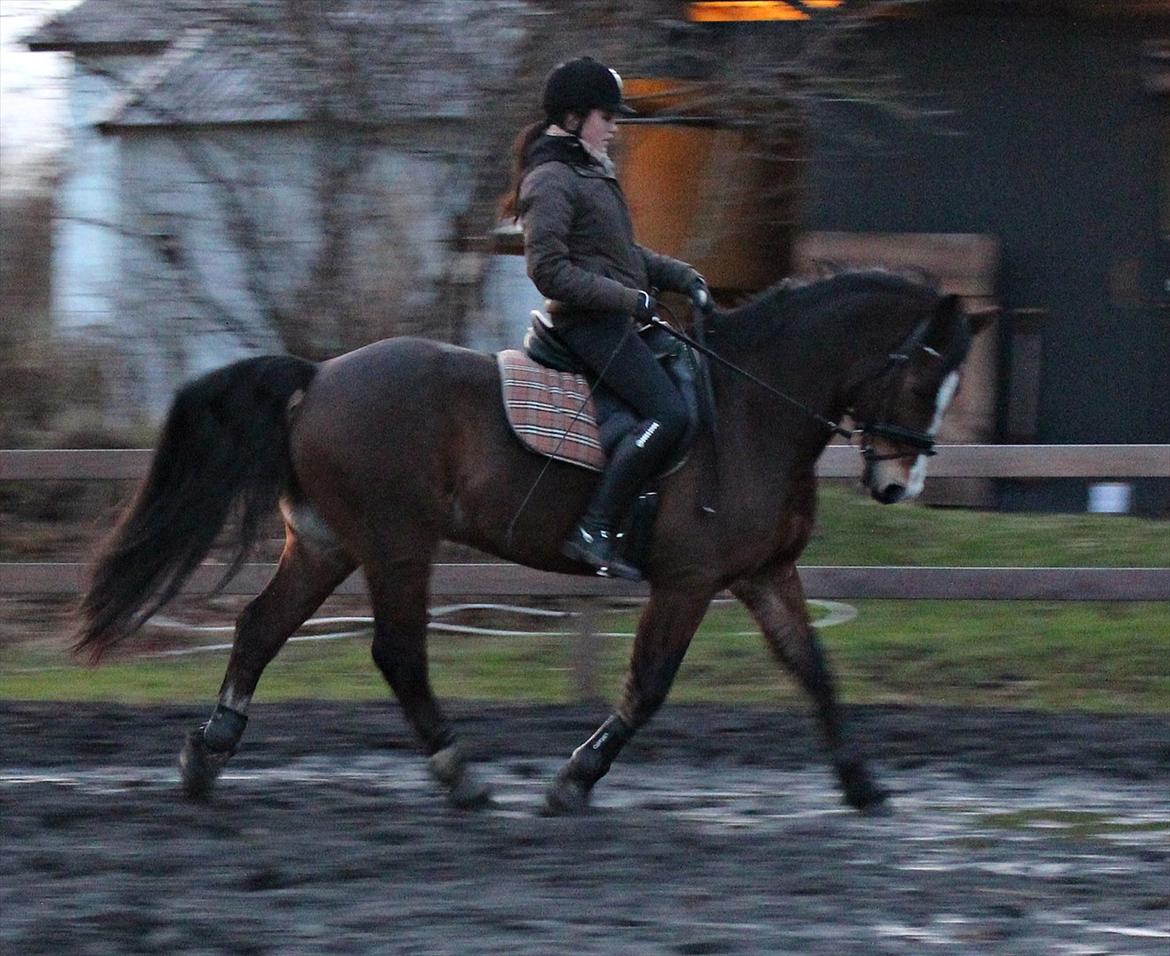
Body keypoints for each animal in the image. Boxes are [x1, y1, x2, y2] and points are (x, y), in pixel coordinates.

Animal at [73, 266, 982, 814]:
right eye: (924, 378)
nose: (897, 486)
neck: (752, 411)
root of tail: (320, 376)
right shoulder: (688, 581)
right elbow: (648, 686)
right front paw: (573, 780)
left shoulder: (764, 575)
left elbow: (814, 670)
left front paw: (863, 785)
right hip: (397, 545)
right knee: (397, 655)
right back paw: (460, 775)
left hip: (330, 545)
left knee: (261, 628)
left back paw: (208, 756)